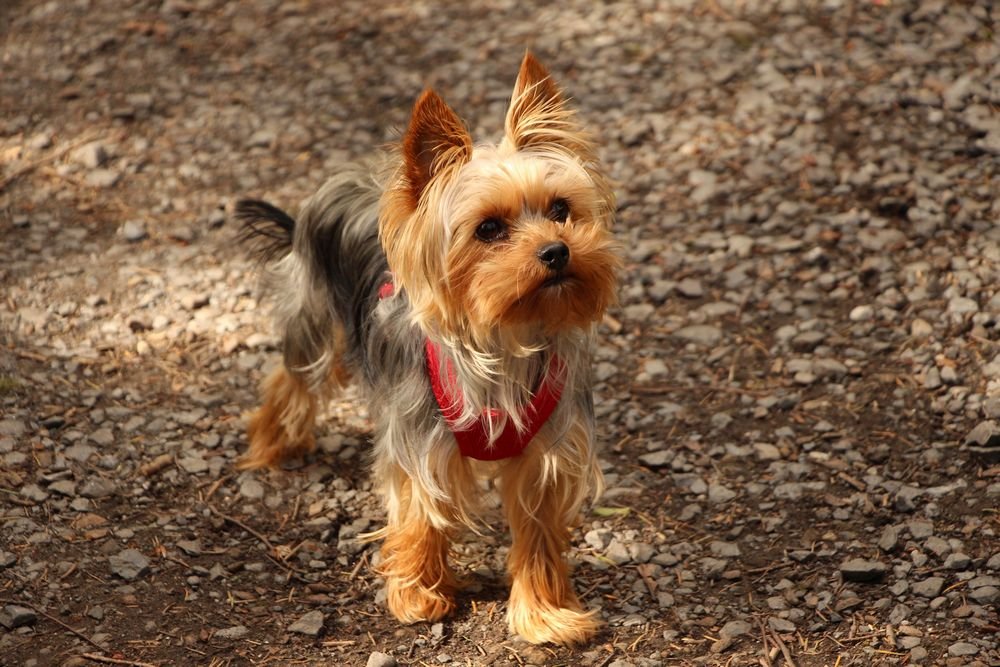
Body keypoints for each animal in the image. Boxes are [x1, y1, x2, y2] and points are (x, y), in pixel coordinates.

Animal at [238, 53, 620, 648]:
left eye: (561, 209)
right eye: (488, 228)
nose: (557, 251)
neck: (504, 341)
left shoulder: (547, 455)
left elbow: (537, 535)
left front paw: (545, 614)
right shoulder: (420, 441)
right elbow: (422, 513)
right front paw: (418, 594)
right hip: (315, 318)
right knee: (290, 378)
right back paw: (272, 444)